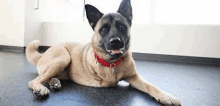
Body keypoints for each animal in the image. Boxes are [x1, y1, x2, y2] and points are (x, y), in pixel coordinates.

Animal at [25, 0, 180, 105]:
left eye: (121, 26)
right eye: (104, 29)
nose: (115, 41)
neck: (113, 63)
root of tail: (42, 55)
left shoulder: (134, 78)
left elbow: (151, 86)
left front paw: (166, 96)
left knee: (45, 77)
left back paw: (54, 82)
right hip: (63, 57)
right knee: (35, 80)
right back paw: (40, 88)